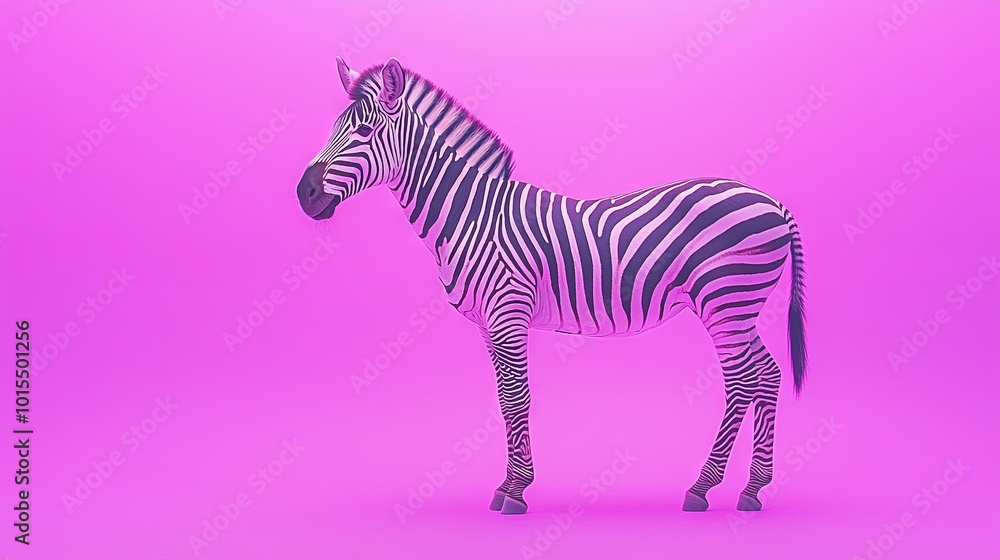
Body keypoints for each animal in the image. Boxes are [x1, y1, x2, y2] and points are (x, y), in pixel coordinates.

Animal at [296, 57, 808, 515]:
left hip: (726, 301)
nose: (304, 194)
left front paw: (517, 492)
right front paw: (507, 486)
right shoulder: (489, 326)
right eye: (333, 127)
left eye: (364, 132)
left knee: (742, 381)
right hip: (740, 309)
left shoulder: (508, 313)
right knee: (768, 373)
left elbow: (517, 396)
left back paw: (702, 488)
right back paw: (753, 490)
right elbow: (505, 402)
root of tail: (774, 202)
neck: (472, 216)